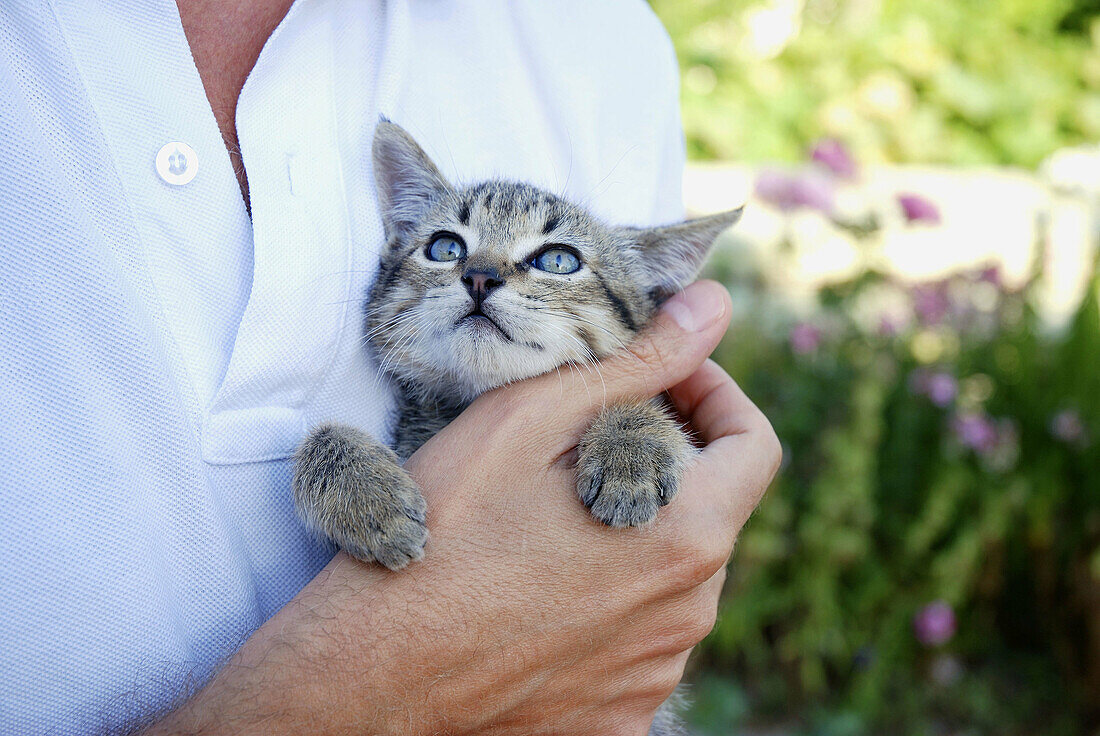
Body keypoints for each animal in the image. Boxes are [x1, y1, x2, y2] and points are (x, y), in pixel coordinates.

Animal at [292, 119, 743, 567]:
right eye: (445, 247)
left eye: (559, 260)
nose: (480, 277)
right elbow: (322, 433)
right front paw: (367, 495)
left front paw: (632, 442)